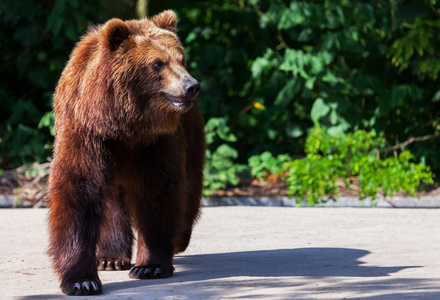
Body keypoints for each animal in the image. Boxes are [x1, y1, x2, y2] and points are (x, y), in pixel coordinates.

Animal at [47, 10, 205, 296]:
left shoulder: (156, 142)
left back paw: (179, 239)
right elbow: (78, 190)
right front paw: (82, 280)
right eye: (157, 63)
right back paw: (111, 257)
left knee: (189, 187)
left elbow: (158, 190)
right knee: (111, 201)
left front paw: (150, 266)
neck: (124, 123)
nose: (191, 86)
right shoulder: (85, 132)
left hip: (191, 133)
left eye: (181, 59)